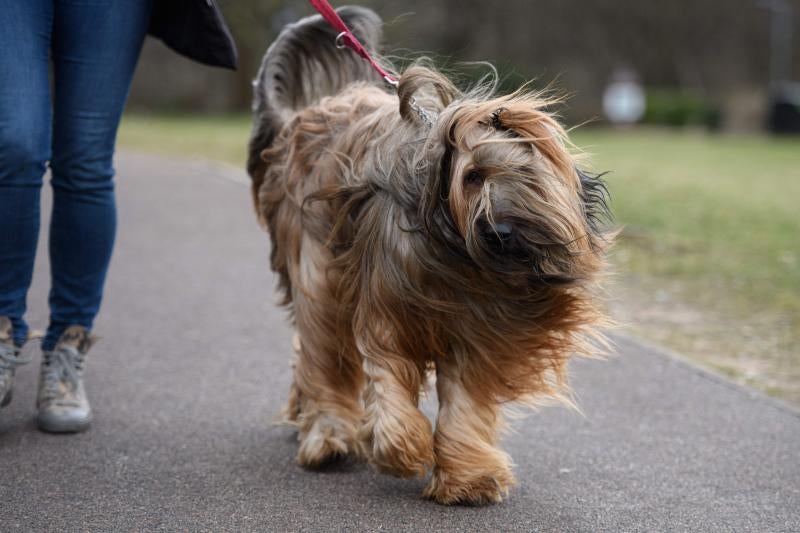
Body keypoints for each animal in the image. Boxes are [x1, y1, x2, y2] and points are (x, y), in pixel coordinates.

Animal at [247, 5, 608, 502]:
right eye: (471, 177)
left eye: (529, 178)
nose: (499, 231)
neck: (457, 258)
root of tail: (300, 117)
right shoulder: (386, 305)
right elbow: (387, 372)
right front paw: (402, 447)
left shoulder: (481, 327)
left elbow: (466, 400)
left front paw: (468, 477)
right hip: (317, 266)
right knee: (322, 352)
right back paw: (329, 436)